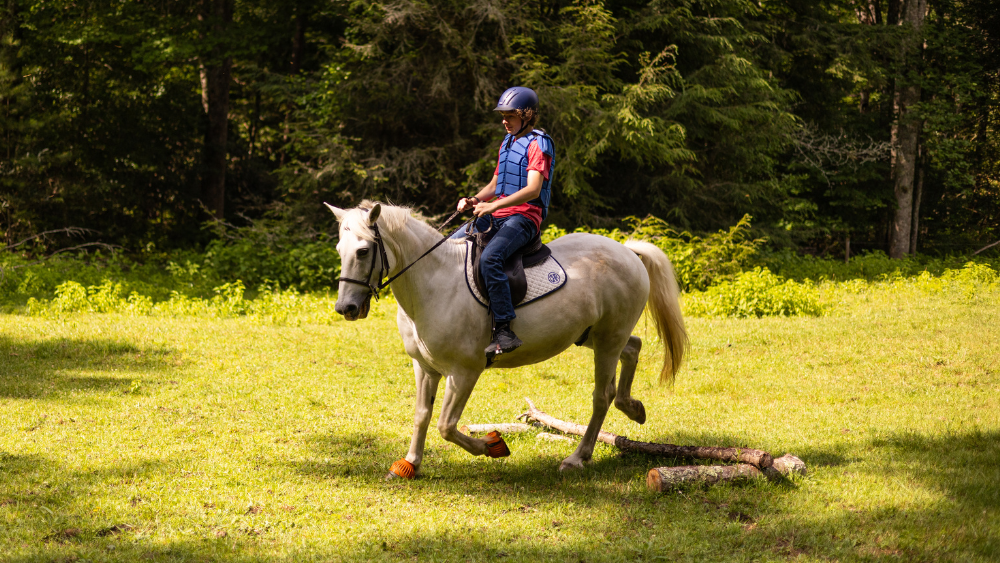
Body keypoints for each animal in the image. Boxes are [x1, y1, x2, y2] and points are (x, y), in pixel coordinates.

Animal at [326, 201, 687, 477]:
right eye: (340, 250)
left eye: (363, 251)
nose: (346, 308)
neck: (433, 281)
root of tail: (626, 250)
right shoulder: (425, 368)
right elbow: (421, 415)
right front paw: (410, 464)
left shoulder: (464, 372)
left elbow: (446, 425)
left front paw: (492, 445)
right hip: (593, 335)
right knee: (633, 348)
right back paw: (634, 408)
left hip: (608, 338)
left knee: (602, 395)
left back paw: (577, 458)